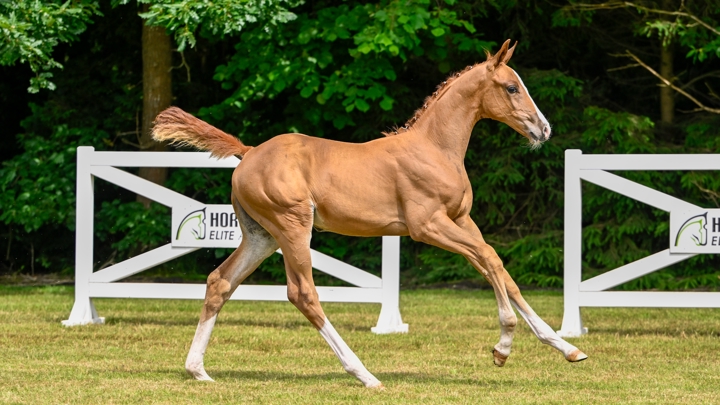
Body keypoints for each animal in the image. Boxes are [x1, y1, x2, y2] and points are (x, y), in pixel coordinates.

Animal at [155, 39, 588, 386]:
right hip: (293, 226)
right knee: (302, 293)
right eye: (512, 87)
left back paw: (198, 370)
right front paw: (503, 346)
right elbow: (490, 260)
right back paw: (364, 374)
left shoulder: (462, 220)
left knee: (220, 281)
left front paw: (566, 348)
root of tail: (247, 153)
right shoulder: (427, 226)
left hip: (261, 236)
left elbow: (498, 269)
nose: (543, 130)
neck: (435, 148)